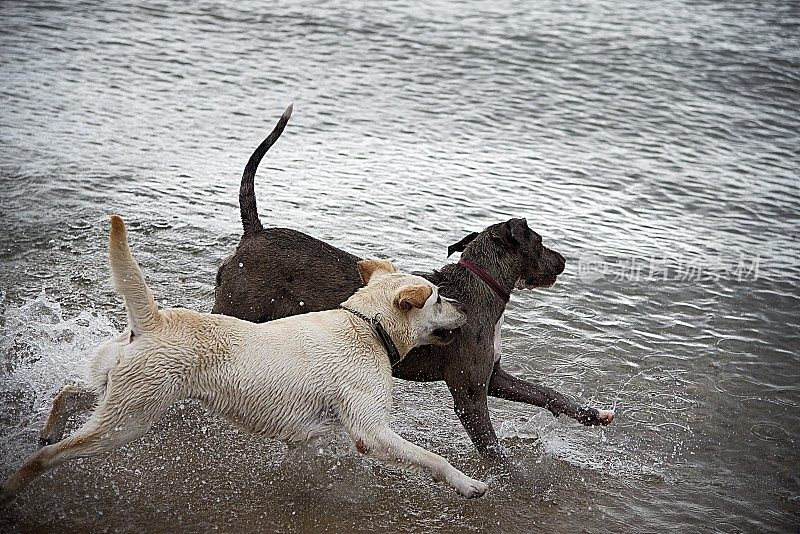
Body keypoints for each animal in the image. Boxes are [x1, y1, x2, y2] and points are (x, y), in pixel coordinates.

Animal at [211, 105, 612, 464]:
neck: (481, 286)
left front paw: (594, 415)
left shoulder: (494, 377)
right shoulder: (469, 393)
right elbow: (494, 451)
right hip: (237, 310)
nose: (563, 261)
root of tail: (254, 234)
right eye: (540, 241)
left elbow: (548, 393)